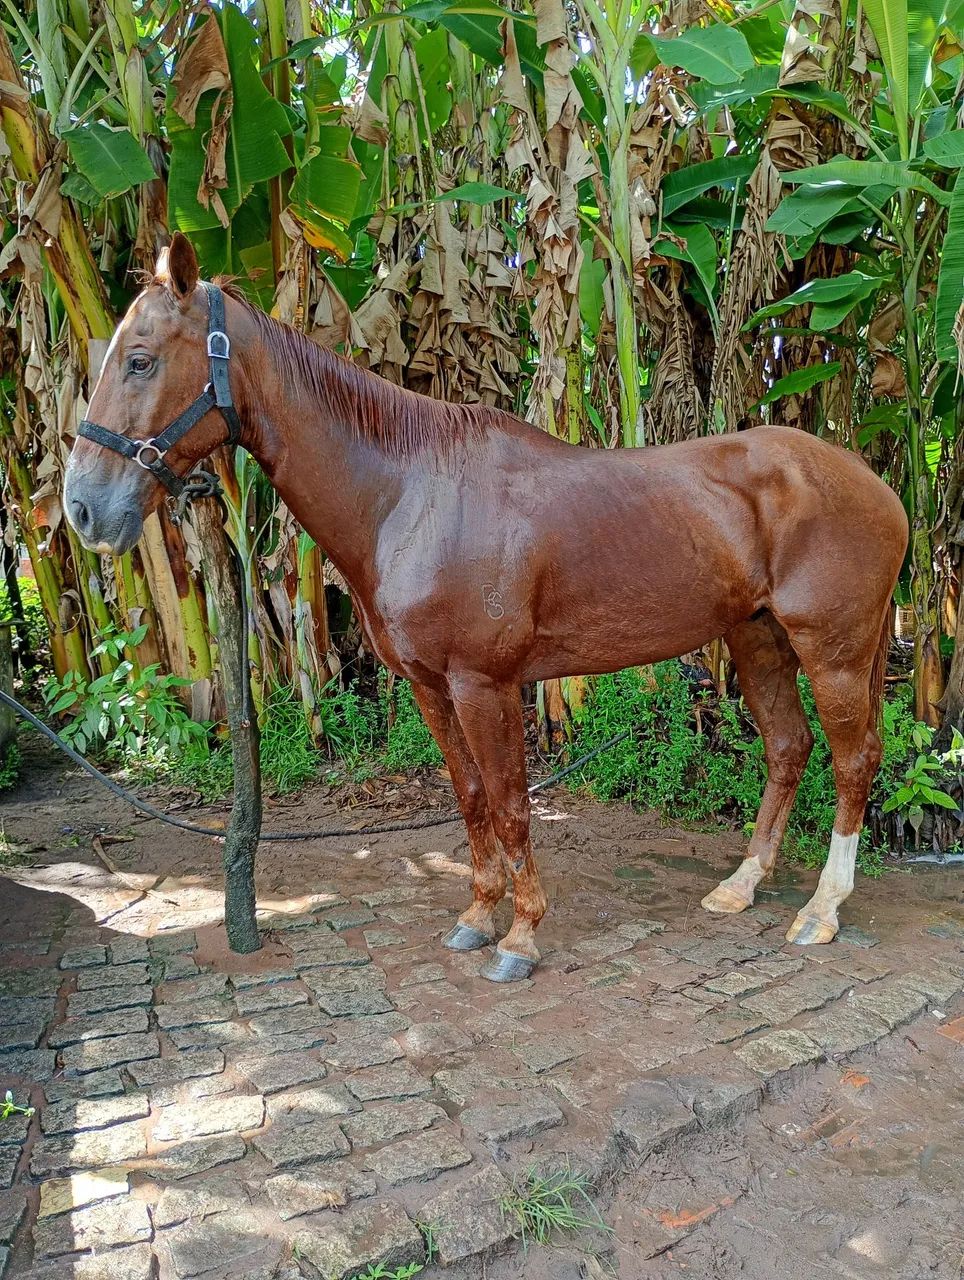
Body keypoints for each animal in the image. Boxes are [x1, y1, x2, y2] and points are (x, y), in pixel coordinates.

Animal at [63, 233, 909, 982]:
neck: (410, 495)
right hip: (759, 640)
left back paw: (822, 909)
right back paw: (742, 885)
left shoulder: (486, 685)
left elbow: (509, 805)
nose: (82, 509)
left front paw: (522, 937)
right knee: (789, 748)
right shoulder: (431, 686)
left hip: (833, 653)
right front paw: (477, 916)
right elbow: (470, 799)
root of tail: (878, 486)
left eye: (140, 360)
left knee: (852, 760)